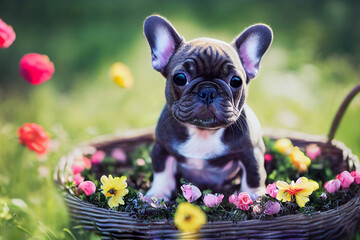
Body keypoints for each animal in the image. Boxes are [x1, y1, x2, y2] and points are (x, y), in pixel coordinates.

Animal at [143, 15, 272, 202]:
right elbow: (161, 171)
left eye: (236, 81)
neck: (203, 132)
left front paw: (253, 198)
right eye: (180, 78)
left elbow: (254, 175)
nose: (208, 91)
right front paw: (157, 195)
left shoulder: (251, 152)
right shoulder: (161, 147)